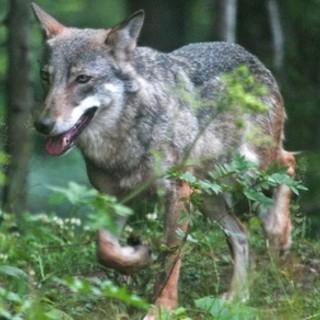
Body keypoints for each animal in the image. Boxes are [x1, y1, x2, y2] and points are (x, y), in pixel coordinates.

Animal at [31, 3, 296, 318]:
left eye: (82, 79)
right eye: (46, 77)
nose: (42, 125)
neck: (125, 136)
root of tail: (250, 56)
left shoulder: (176, 195)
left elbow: (171, 261)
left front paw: (162, 308)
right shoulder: (113, 199)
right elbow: (105, 249)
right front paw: (138, 255)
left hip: (250, 169)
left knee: (288, 164)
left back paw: (279, 233)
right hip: (208, 196)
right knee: (241, 234)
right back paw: (235, 298)